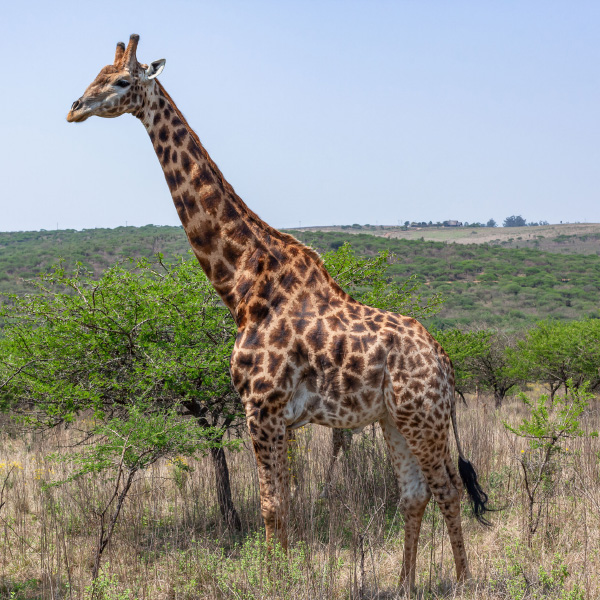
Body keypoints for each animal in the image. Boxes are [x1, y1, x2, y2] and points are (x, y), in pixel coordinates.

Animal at [68, 35, 490, 588]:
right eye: (95, 74)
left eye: (120, 80)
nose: (75, 108)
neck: (241, 282)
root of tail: (444, 361)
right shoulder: (281, 418)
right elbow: (284, 502)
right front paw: (285, 572)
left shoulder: (261, 407)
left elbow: (270, 506)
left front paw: (275, 579)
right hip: (393, 420)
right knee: (413, 494)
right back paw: (404, 584)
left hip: (424, 417)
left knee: (447, 488)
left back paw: (462, 581)